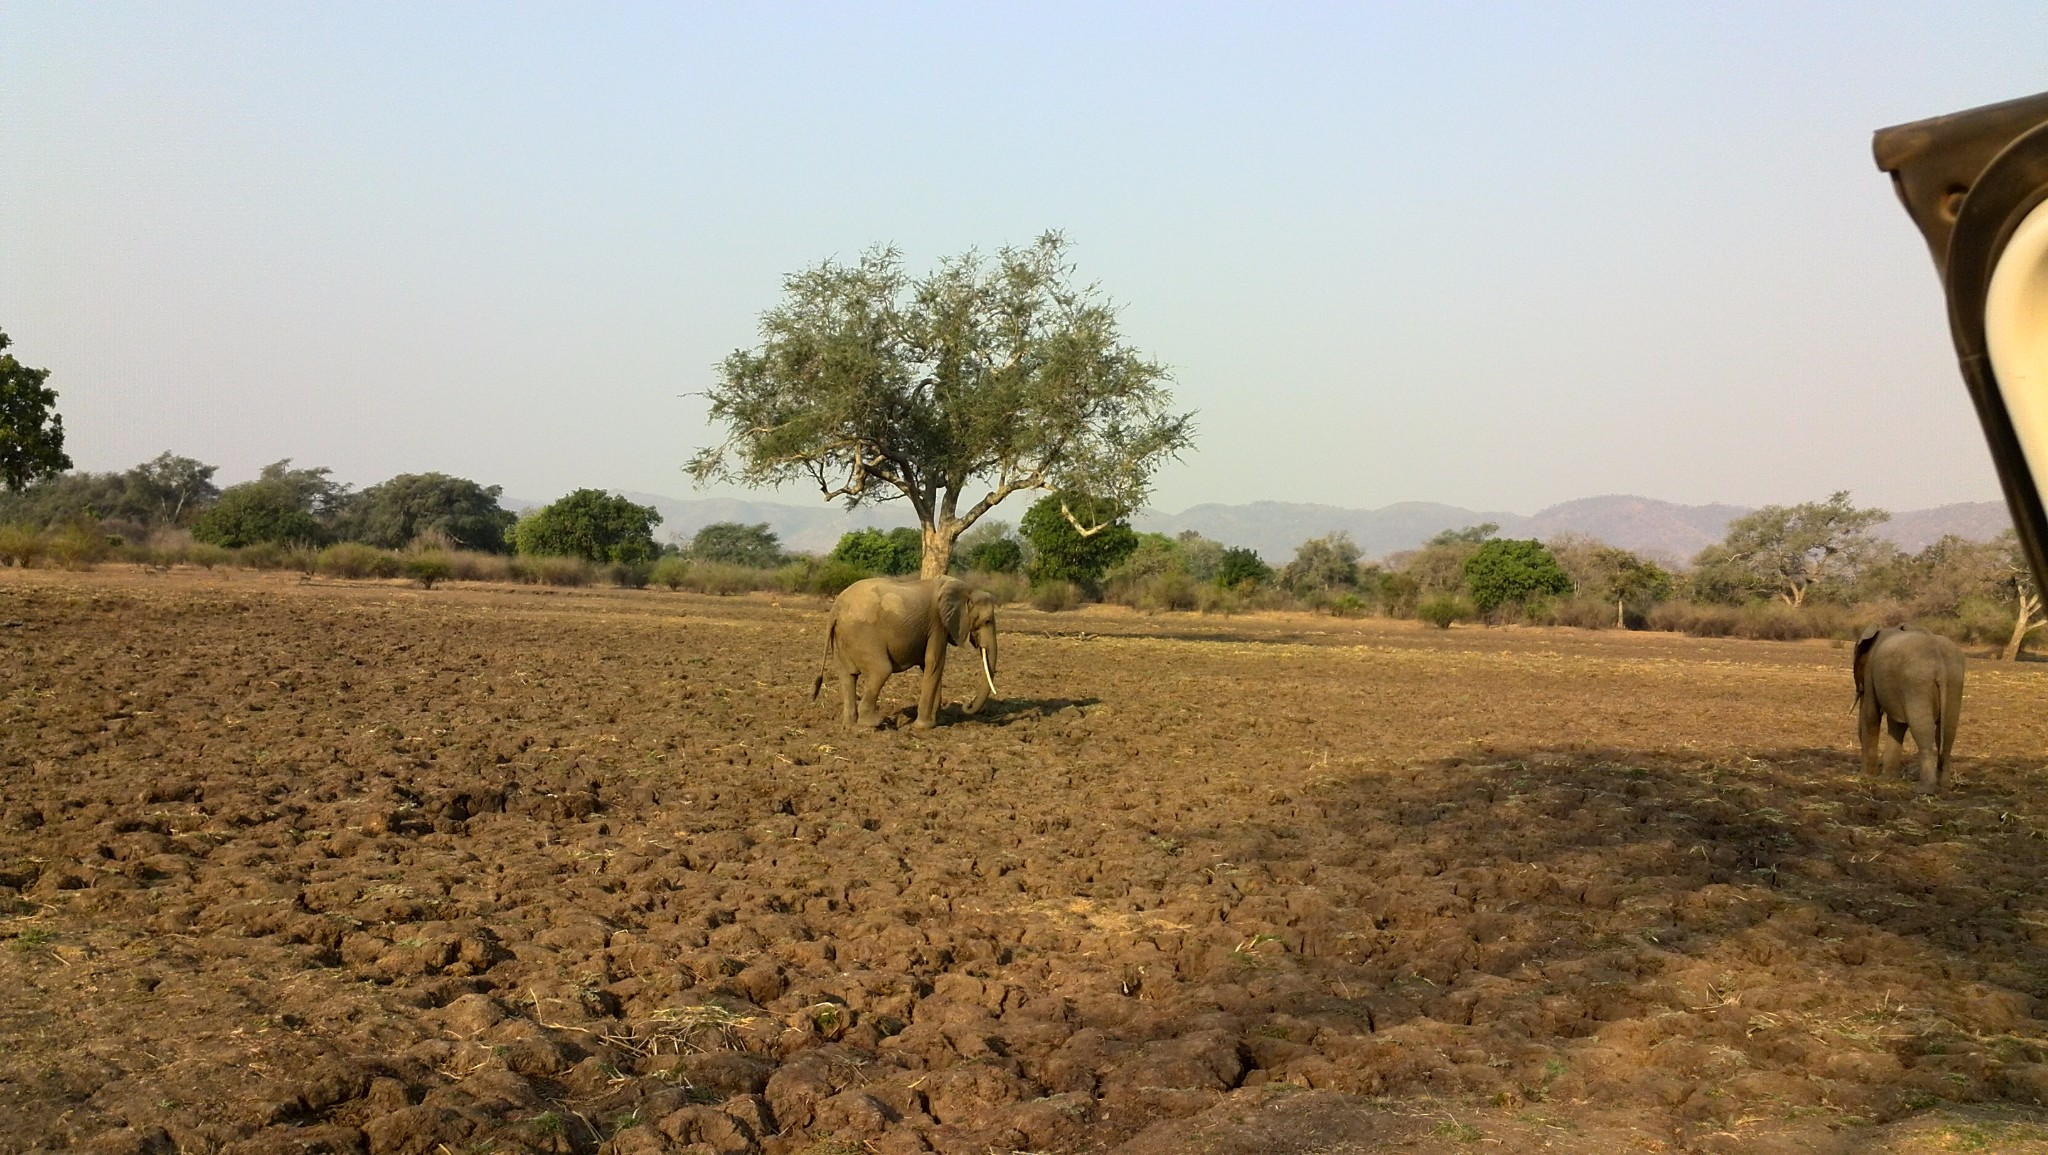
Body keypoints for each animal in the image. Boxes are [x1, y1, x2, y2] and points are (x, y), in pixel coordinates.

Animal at [815, 577, 1007, 729]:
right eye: (987, 621)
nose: (967, 704)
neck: (966, 589)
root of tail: (835, 608)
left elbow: (931, 666)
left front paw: (936, 721)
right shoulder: (938, 624)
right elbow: (934, 662)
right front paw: (924, 727)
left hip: (843, 639)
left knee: (847, 676)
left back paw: (850, 726)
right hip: (864, 635)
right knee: (881, 670)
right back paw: (873, 724)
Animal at [1851, 622, 1957, 794]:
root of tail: (1938, 658)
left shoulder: (1870, 671)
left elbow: (1871, 716)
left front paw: (1864, 777)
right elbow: (1897, 724)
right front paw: (1887, 779)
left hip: (1916, 683)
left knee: (1923, 729)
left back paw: (1924, 789)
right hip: (1954, 680)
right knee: (1948, 730)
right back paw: (1944, 786)